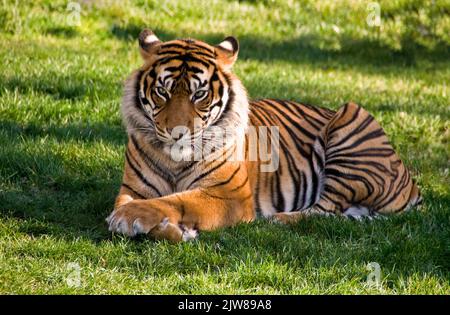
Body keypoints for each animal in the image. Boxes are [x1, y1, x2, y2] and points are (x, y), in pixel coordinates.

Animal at [106, 29, 422, 242]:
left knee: (324, 210)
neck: (175, 159)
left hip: (351, 117)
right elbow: (139, 202)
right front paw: (169, 229)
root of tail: (411, 183)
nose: (177, 134)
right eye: (163, 91)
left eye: (199, 94)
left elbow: (176, 200)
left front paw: (129, 218)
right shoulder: (133, 188)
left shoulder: (229, 195)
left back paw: (277, 219)